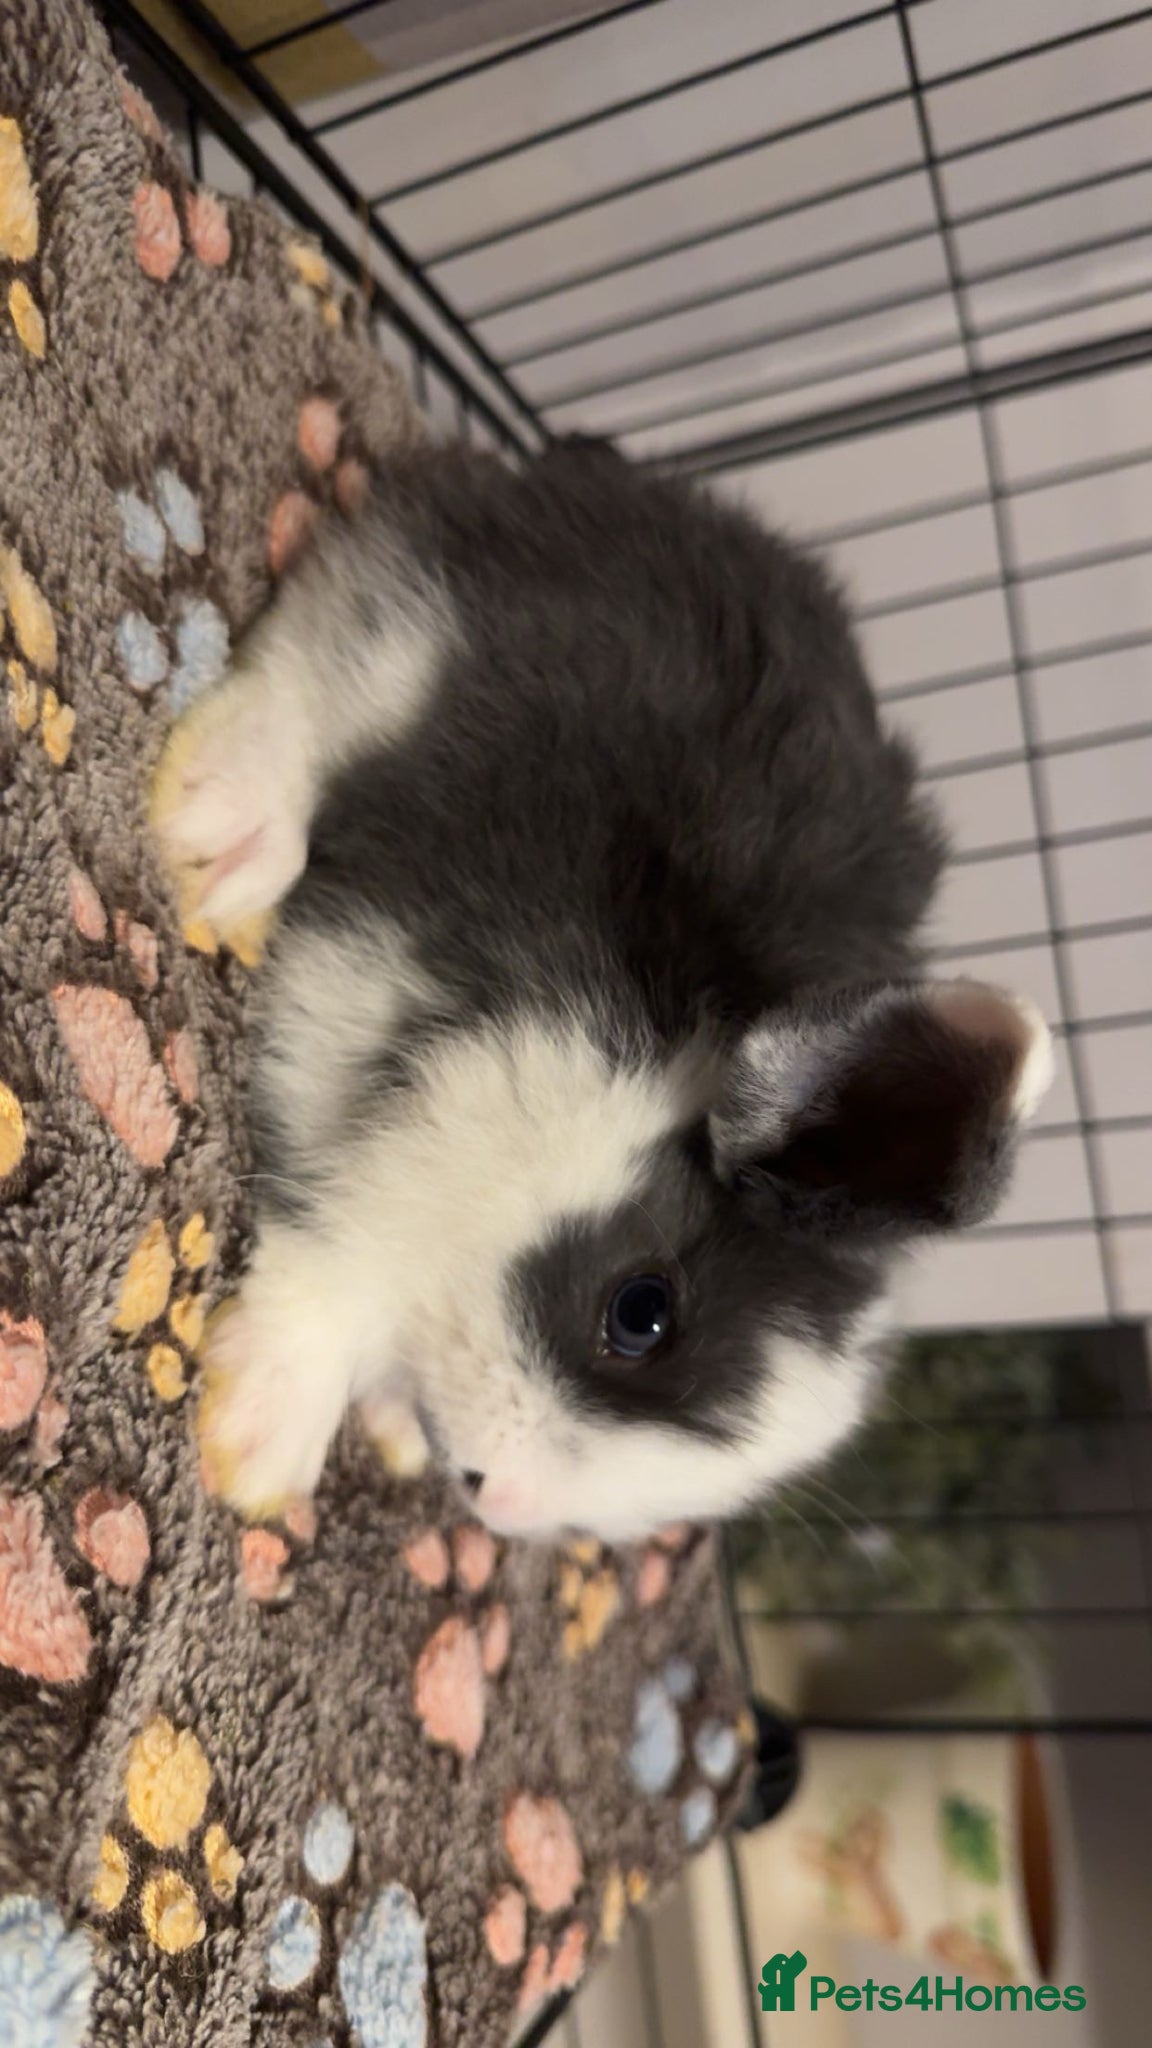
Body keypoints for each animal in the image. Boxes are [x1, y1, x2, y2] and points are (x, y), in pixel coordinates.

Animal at [155, 439, 1051, 1540]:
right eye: (641, 1312)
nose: (499, 1495)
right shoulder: (411, 1064)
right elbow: (344, 1244)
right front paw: (258, 1444)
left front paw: (383, 1425)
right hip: (428, 638)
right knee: (311, 676)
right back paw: (221, 832)